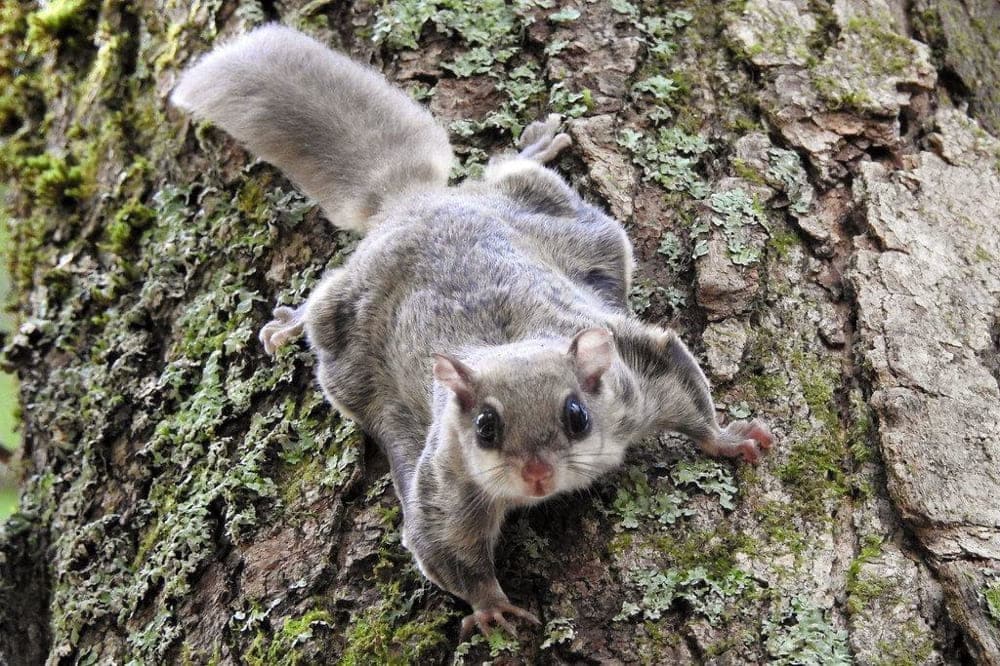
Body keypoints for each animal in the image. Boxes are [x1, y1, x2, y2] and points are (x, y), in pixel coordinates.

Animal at [171, 25, 774, 638]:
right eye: (485, 427)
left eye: (577, 416)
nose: (536, 475)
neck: (508, 346)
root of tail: (411, 201)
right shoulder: (447, 482)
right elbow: (445, 549)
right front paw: (492, 608)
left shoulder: (637, 373)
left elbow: (683, 389)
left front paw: (727, 440)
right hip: (343, 315)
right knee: (324, 299)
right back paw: (290, 324)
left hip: (553, 213)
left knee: (508, 172)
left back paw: (534, 145)